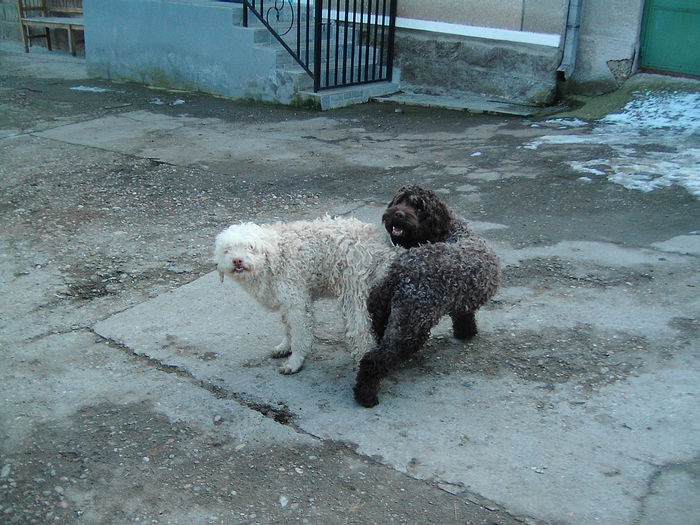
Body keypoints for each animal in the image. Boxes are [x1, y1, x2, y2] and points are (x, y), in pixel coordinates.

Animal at [213, 216, 400, 372]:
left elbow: (299, 335)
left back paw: (363, 356)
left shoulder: (297, 304)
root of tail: (379, 243)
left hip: (354, 291)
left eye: (250, 247)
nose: (237, 260)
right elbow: (287, 329)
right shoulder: (285, 303)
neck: (274, 258)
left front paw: (294, 362)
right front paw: (284, 347)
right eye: (227, 250)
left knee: (360, 328)